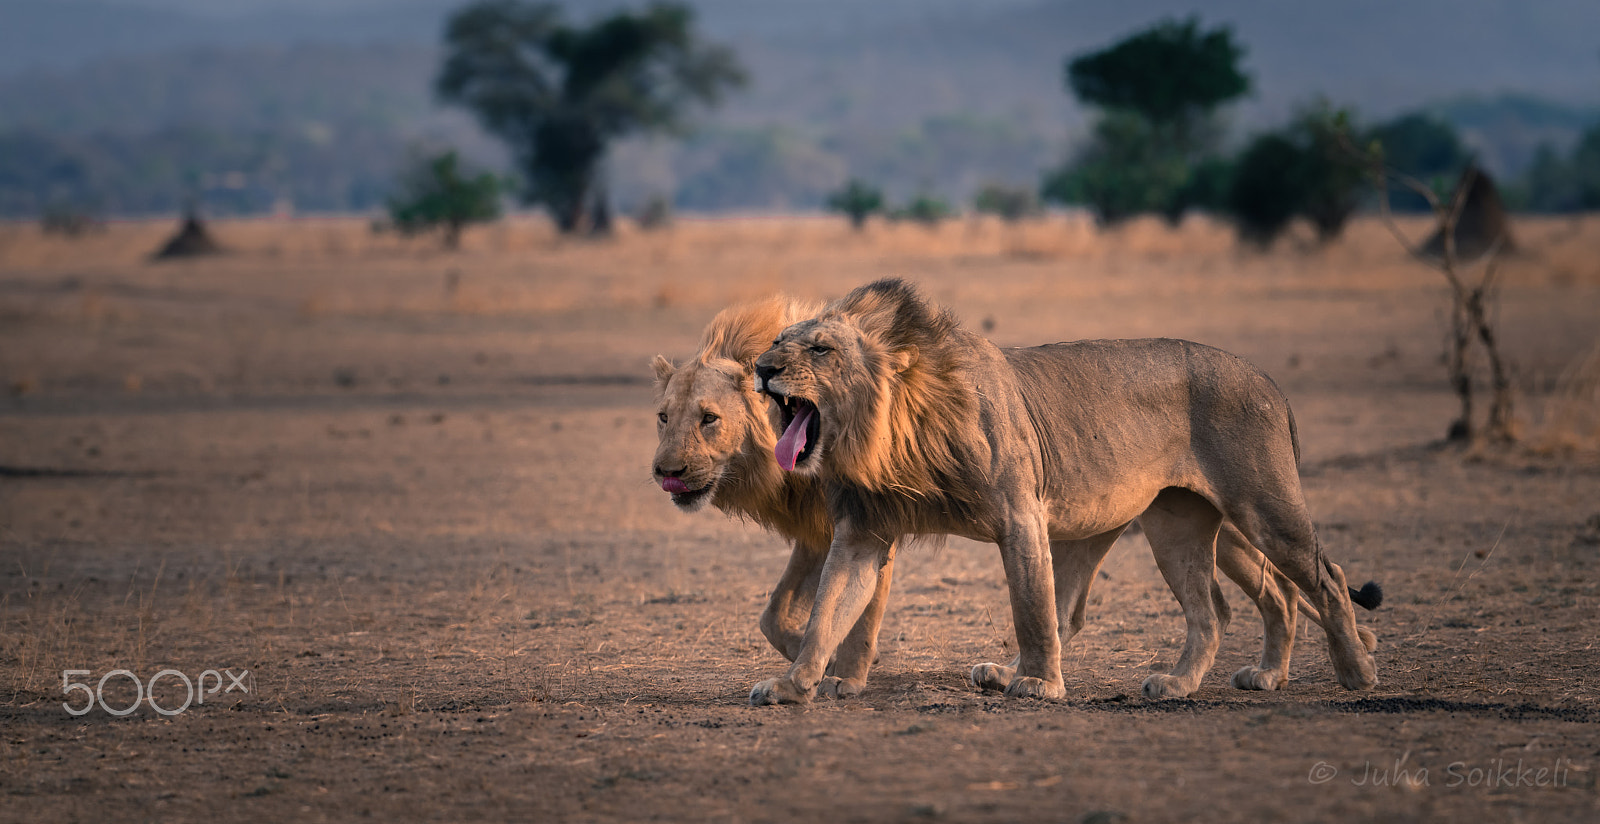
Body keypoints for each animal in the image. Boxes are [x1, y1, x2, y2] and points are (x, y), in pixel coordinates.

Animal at [649, 289, 1376, 704]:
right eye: (776, 342)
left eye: (822, 349)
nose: (766, 369)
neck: (888, 428)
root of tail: (1268, 380)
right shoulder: (861, 534)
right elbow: (828, 612)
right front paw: (796, 685)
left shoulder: (1019, 511)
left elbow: (1032, 607)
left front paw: (1040, 685)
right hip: (1185, 526)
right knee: (1228, 606)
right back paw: (1209, 681)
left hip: (1262, 507)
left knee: (1325, 577)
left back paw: (1356, 671)